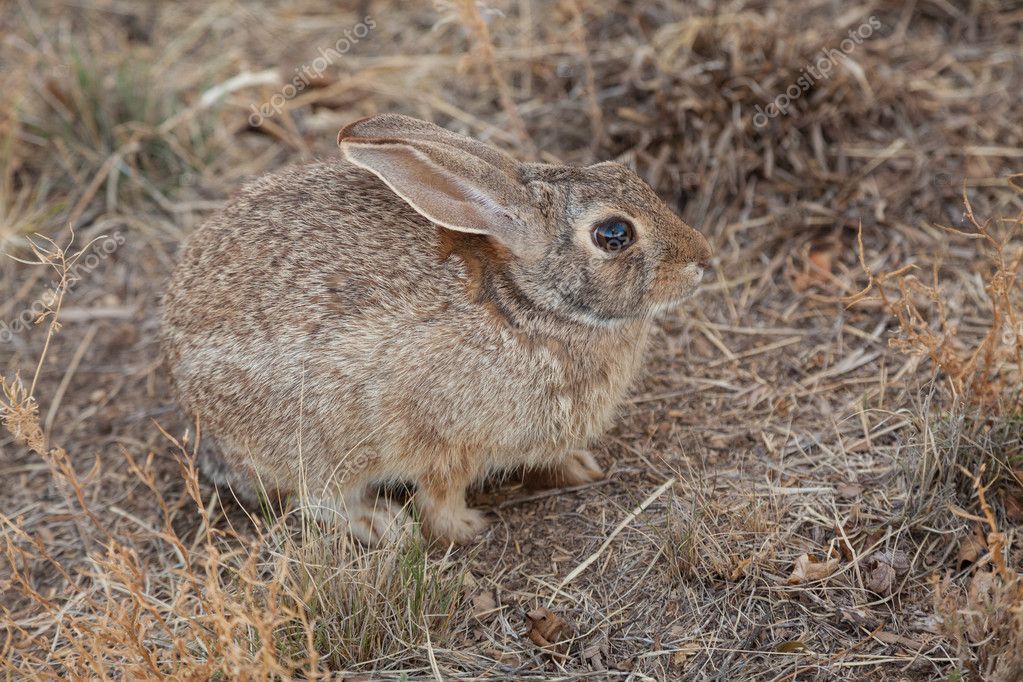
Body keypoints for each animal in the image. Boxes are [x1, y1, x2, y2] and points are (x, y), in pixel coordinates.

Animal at [161, 113, 712, 545]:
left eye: (621, 171)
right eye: (613, 235)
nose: (702, 259)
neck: (528, 302)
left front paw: (578, 466)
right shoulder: (442, 439)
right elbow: (440, 493)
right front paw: (464, 528)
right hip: (316, 438)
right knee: (315, 498)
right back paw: (380, 523)